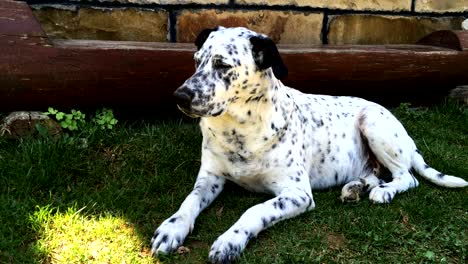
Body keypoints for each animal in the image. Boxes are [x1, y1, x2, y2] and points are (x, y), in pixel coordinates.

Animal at [151, 26, 468, 262]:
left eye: (222, 64)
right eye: (197, 60)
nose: (179, 96)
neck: (237, 129)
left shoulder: (298, 194)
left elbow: (254, 211)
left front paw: (230, 241)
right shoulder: (210, 178)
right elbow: (189, 202)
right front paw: (171, 229)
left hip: (374, 124)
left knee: (406, 178)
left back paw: (384, 192)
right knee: (375, 174)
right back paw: (356, 188)